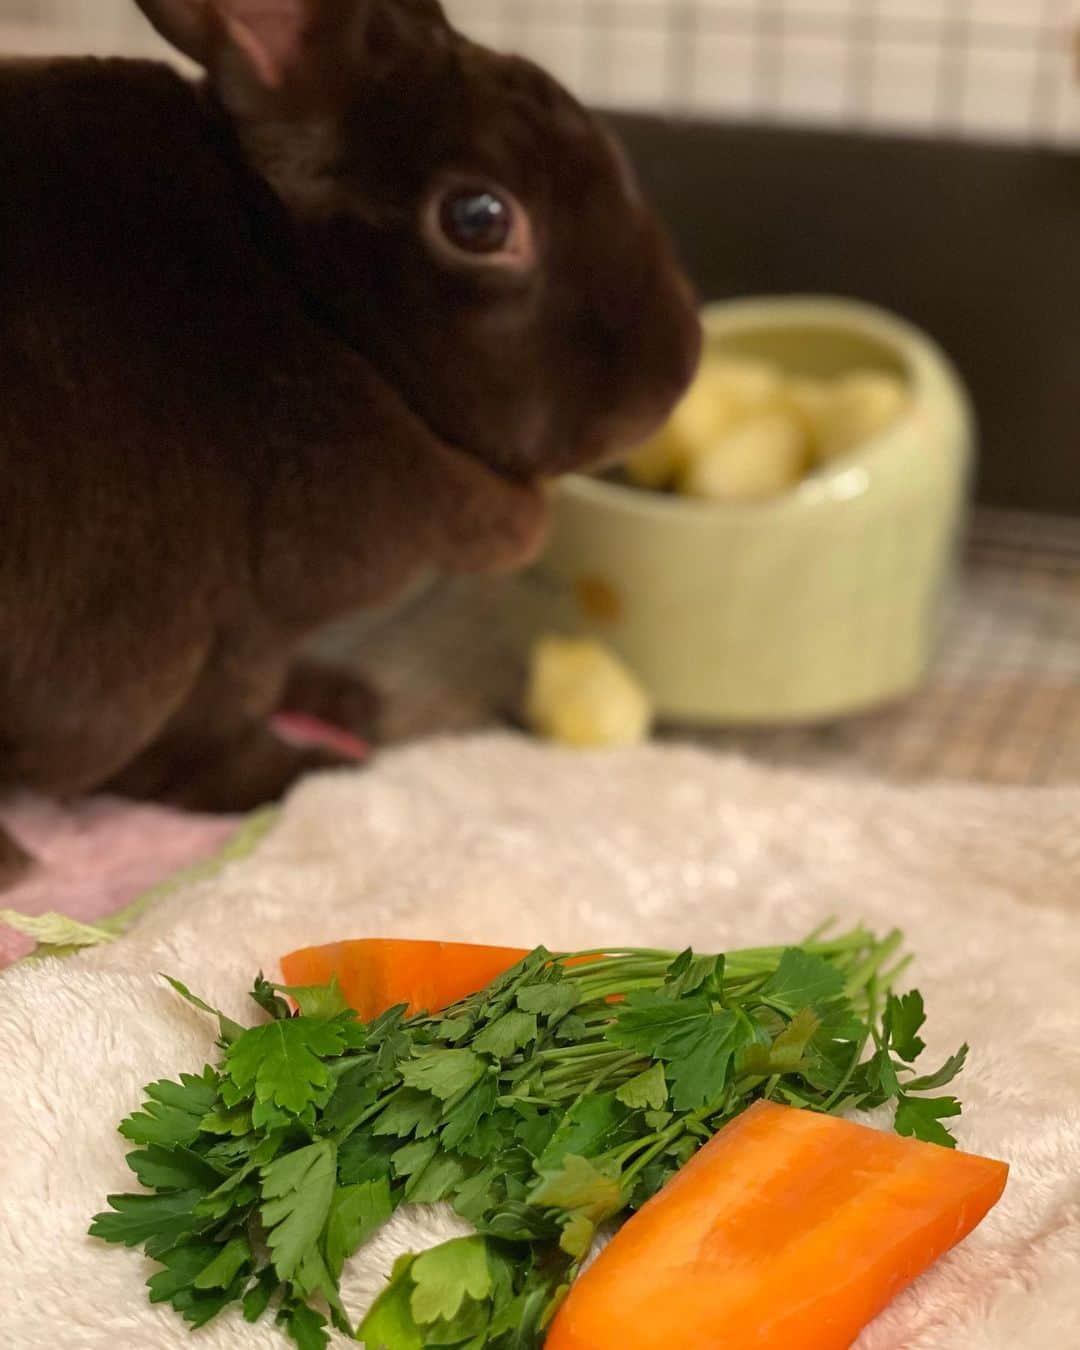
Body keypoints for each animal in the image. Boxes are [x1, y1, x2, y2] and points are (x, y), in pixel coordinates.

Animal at [0, 0, 701, 881]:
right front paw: (304, 771)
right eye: (478, 219)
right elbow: (193, 745)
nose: (676, 370)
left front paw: (340, 700)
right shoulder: (217, 633)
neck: (310, 296)